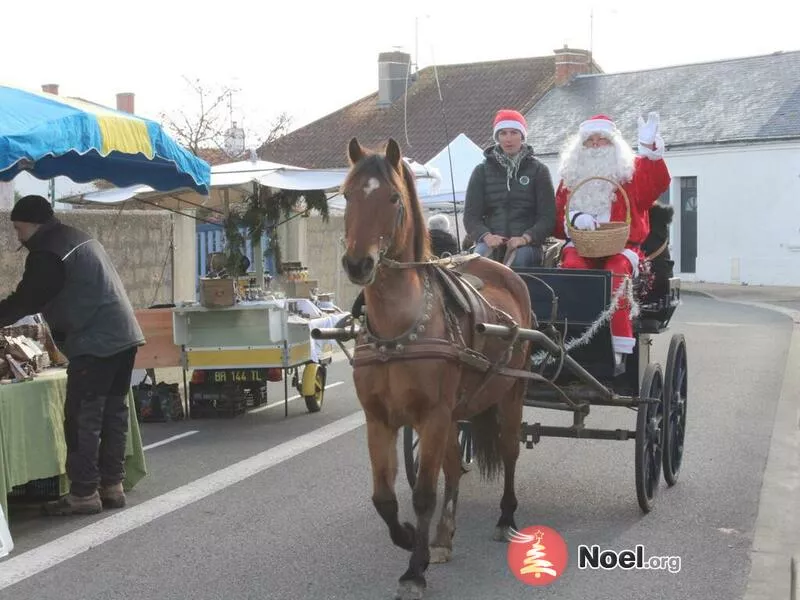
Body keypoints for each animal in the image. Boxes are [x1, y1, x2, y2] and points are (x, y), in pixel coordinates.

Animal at [340, 138, 536, 596]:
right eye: (346, 194)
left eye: (393, 198)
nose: (358, 264)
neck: (399, 331)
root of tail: (504, 269)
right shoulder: (380, 419)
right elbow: (385, 498)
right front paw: (414, 538)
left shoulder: (431, 416)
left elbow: (424, 494)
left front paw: (414, 569)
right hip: (455, 413)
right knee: (453, 468)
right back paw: (444, 535)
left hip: (510, 394)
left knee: (509, 450)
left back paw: (505, 516)